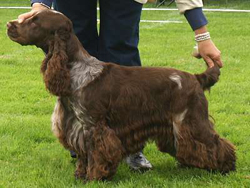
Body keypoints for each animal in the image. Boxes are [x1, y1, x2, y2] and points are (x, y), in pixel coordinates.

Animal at [6, 9, 235, 181]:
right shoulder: (76, 126)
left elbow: (95, 153)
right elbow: (82, 156)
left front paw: (95, 177)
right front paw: (80, 175)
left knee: (215, 143)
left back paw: (227, 168)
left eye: (35, 22)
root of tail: (196, 78)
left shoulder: (94, 126)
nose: (9, 24)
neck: (74, 71)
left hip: (189, 119)